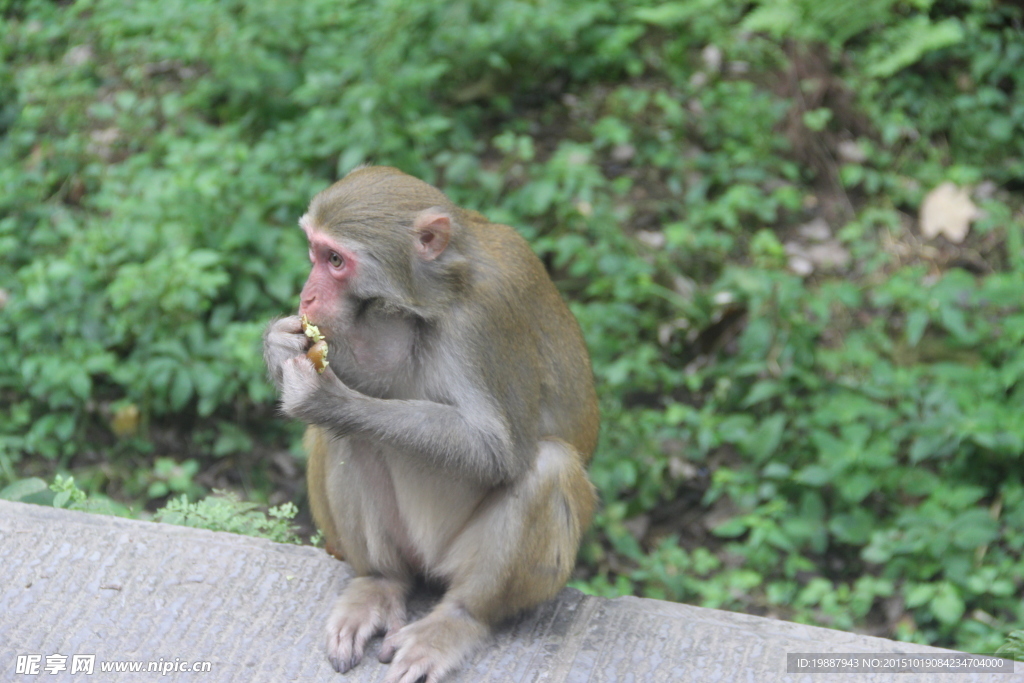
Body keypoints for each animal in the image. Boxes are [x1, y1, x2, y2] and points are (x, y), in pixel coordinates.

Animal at [264, 166, 598, 683]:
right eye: (315, 252)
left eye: (335, 260)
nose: (308, 295)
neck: (435, 298)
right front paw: (279, 346)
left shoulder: (487, 317)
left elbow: (497, 451)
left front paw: (326, 399)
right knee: (349, 441)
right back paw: (379, 583)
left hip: (461, 560)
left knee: (548, 467)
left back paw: (458, 620)